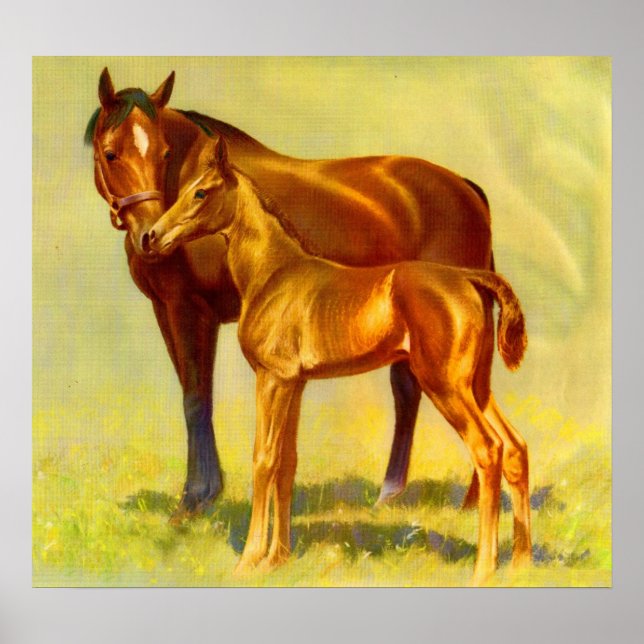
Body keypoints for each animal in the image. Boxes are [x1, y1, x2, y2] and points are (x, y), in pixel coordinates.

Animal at [86, 68, 494, 520]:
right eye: (111, 154)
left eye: (163, 152)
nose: (151, 235)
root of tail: (466, 188)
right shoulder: (167, 311)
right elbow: (193, 395)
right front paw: (205, 493)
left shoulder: (191, 312)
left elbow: (197, 397)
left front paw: (195, 499)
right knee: (416, 393)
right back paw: (396, 494)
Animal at [146, 136, 531, 584]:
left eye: (201, 192)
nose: (152, 236)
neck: (275, 274)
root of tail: (468, 277)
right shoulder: (295, 383)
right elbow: (287, 463)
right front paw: (278, 558)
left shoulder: (272, 379)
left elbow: (264, 459)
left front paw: (249, 560)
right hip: (477, 386)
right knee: (515, 447)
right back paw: (521, 562)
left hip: (446, 386)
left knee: (488, 450)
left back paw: (484, 569)